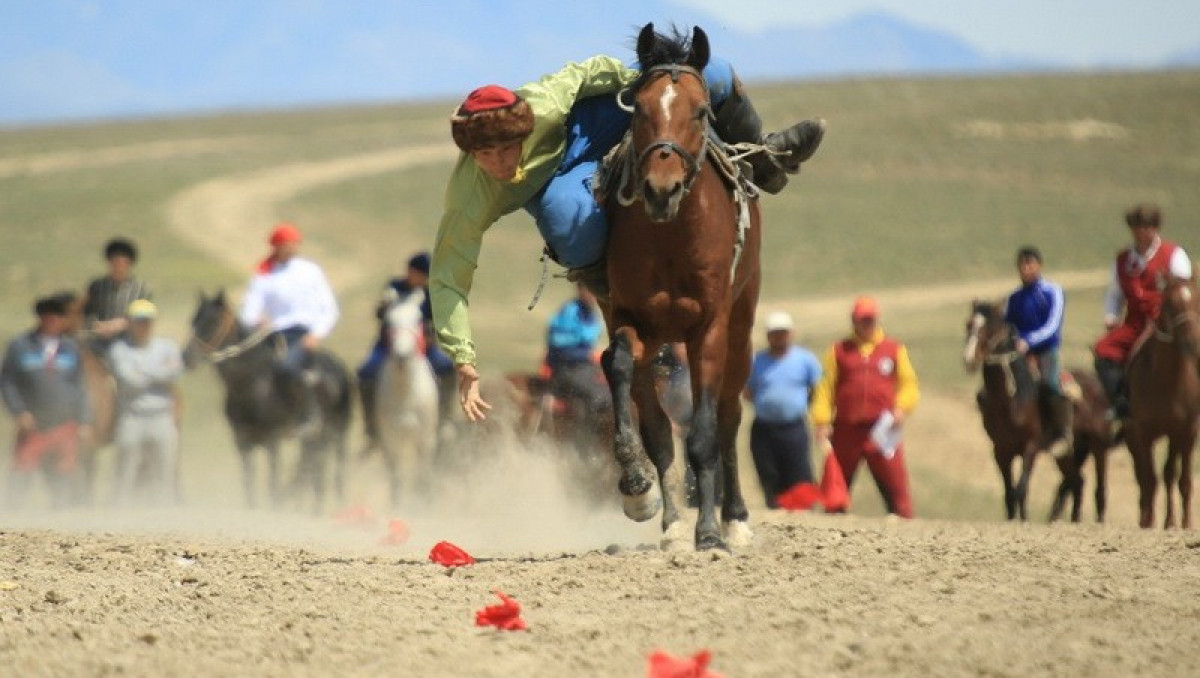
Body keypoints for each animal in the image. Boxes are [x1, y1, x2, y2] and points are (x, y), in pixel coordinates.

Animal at [182, 291, 350, 513]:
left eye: (213, 321)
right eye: (193, 321)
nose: (186, 357)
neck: (253, 384)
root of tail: (339, 368)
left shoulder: (273, 440)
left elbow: (273, 481)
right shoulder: (242, 441)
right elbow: (249, 480)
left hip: (338, 433)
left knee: (335, 472)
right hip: (313, 440)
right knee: (314, 472)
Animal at [374, 286, 441, 508]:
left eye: (418, 319)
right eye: (388, 321)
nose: (403, 356)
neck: (406, 395)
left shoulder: (425, 439)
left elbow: (424, 474)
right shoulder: (391, 439)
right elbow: (397, 477)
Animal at [600, 23, 758, 549]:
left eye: (701, 110)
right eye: (640, 109)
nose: (661, 188)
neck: (671, 237)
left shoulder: (709, 327)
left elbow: (705, 433)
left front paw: (709, 532)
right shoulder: (629, 317)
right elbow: (619, 367)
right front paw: (635, 482)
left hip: (741, 328)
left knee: (728, 418)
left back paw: (734, 518)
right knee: (657, 424)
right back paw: (670, 523)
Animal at [1123, 274, 1200, 528]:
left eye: (1197, 300)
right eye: (1169, 304)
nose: (1192, 343)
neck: (1165, 380)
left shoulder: (1184, 430)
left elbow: (1178, 478)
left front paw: (1179, 523)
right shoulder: (1144, 432)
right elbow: (1151, 478)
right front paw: (1152, 522)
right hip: (1132, 437)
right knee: (1143, 477)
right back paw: (1145, 517)